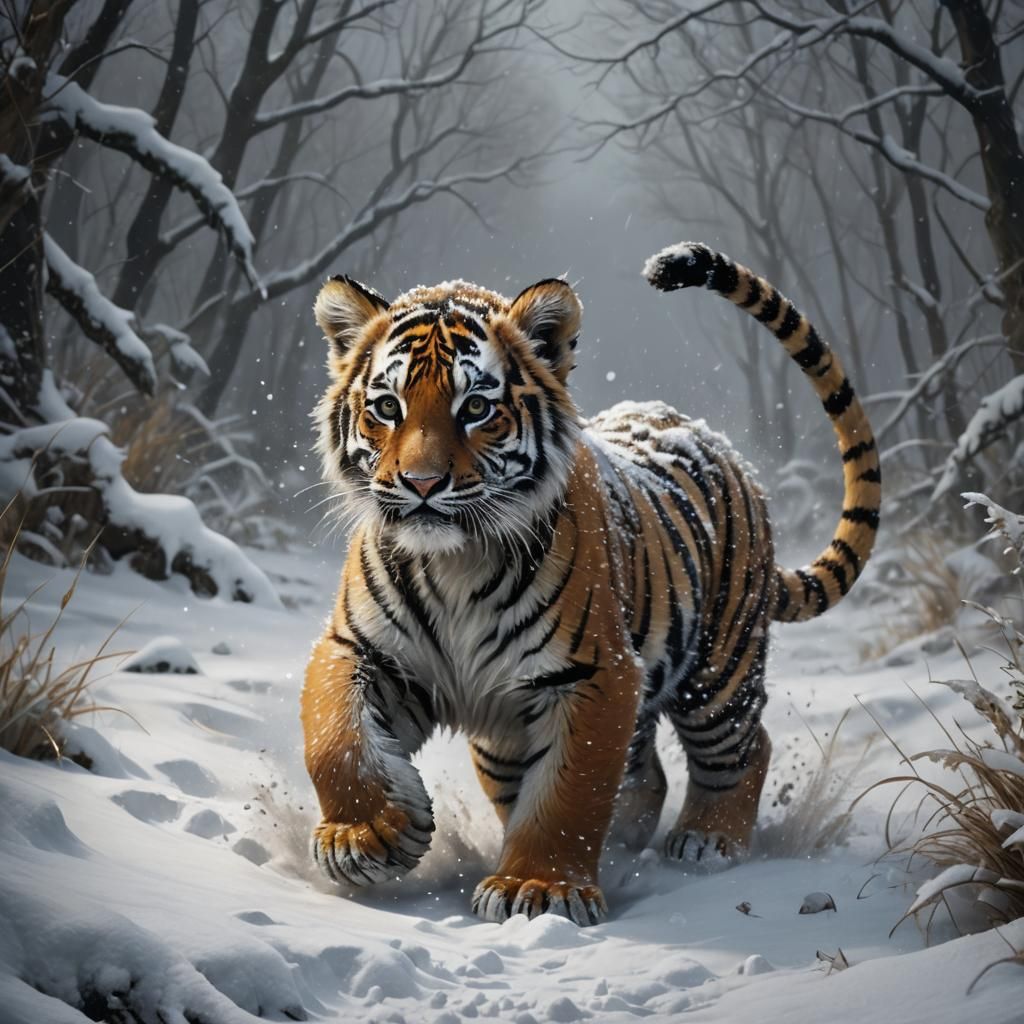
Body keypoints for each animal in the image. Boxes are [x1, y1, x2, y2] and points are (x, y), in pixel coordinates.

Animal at [301, 241, 880, 927]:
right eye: (387, 407)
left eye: (476, 409)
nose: (421, 483)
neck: (454, 562)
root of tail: (719, 446)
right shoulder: (359, 650)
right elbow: (334, 737)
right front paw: (366, 837)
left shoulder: (595, 674)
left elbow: (568, 792)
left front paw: (537, 888)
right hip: (508, 734)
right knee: (642, 776)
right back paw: (628, 844)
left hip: (719, 672)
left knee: (744, 746)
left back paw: (708, 842)